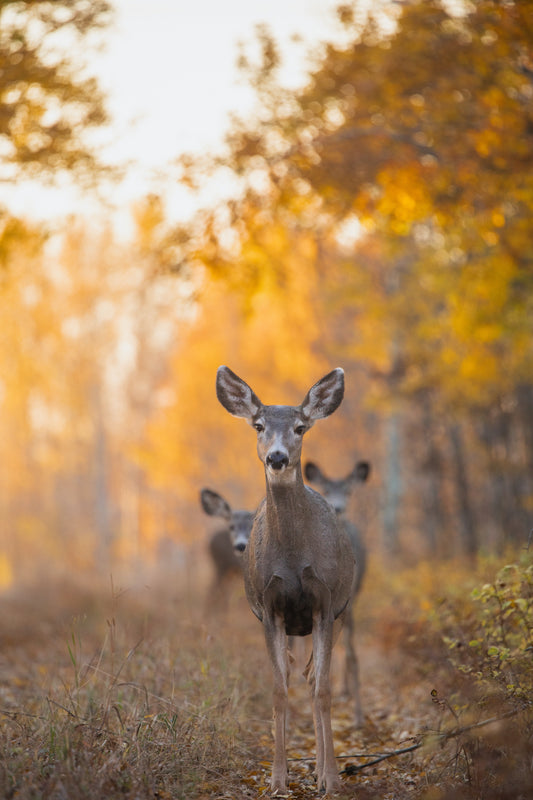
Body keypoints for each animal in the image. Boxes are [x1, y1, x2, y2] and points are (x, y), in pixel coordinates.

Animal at [216, 365, 354, 794]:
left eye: (300, 427)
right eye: (258, 425)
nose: (277, 457)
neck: (293, 559)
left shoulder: (325, 603)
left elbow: (323, 689)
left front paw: (331, 779)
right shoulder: (269, 607)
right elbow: (279, 689)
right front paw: (278, 780)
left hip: (342, 609)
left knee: (312, 678)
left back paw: (322, 770)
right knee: (299, 673)